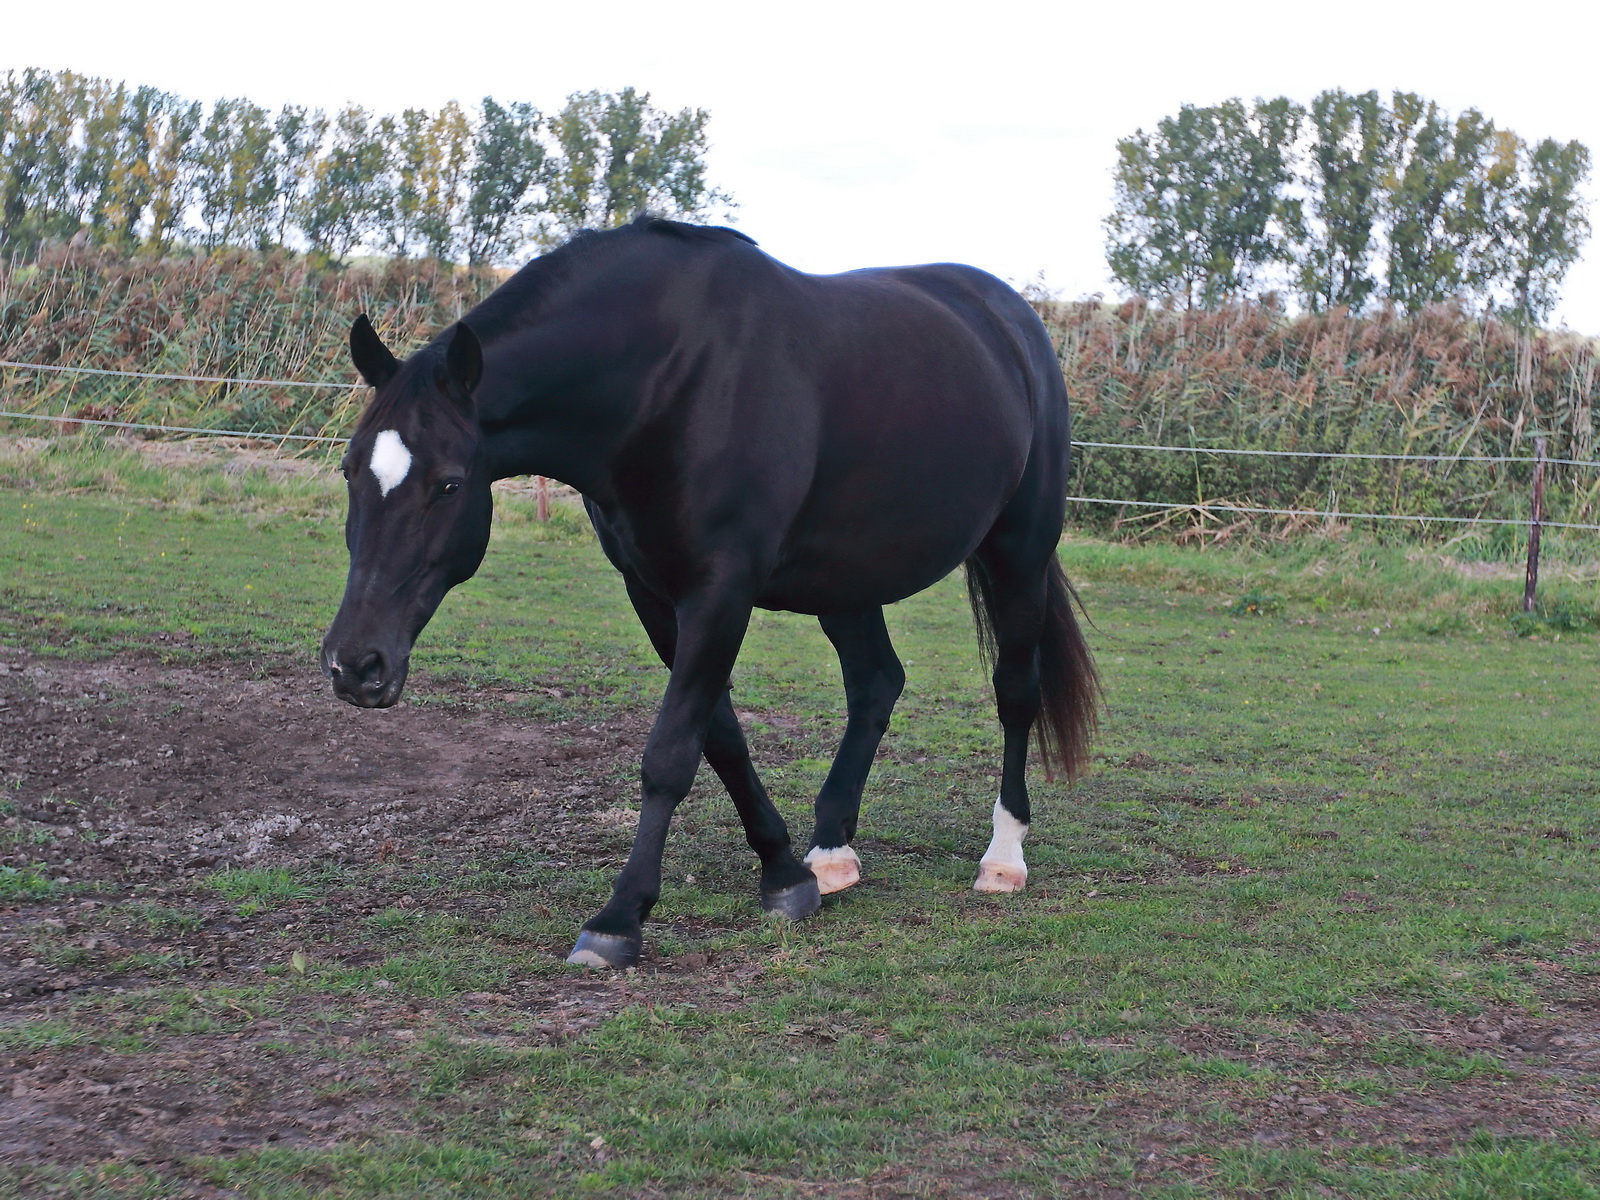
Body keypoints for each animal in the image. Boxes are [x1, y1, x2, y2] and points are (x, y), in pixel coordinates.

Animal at [324, 216, 1100, 966]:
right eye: (349, 470)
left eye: (449, 485)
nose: (355, 665)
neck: (667, 380)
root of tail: (1013, 320)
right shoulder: (653, 593)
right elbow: (721, 738)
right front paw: (784, 873)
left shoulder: (720, 588)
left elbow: (671, 752)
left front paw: (619, 919)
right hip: (847, 580)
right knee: (876, 684)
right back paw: (831, 851)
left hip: (1019, 554)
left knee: (1014, 693)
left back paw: (1003, 858)